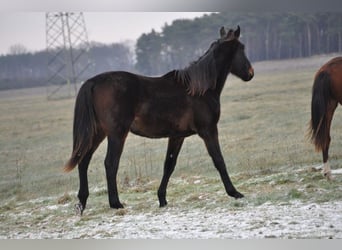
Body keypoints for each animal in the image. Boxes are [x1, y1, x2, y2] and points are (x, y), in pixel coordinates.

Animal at [63, 25, 254, 215]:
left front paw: (162, 199)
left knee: (83, 161)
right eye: (242, 48)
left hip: (98, 133)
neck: (199, 89)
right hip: (117, 134)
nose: (250, 73)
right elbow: (219, 160)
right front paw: (234, 192)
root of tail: (92, 82)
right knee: (110, 163)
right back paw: (115, 203)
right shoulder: (208, 130)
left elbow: (169, 165)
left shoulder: (177, 136)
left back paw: (81, 203)